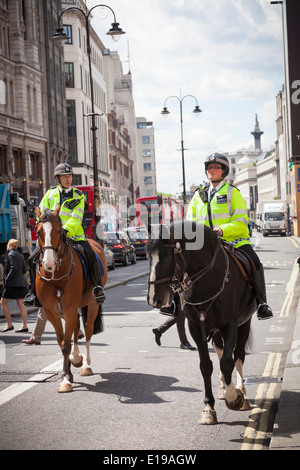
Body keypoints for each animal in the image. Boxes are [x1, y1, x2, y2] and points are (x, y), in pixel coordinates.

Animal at [34, 206, 106, 392]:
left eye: (59, 231)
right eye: (38, 232)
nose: (48, 264)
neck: (56, 275)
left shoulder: (69, 307)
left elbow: (66, 343)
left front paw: (66, 379)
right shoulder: (51, 311)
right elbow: (62, 342)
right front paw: (66, 373)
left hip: (91, 304)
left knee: (87, 330)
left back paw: (85, 364)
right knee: (75, 328)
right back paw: (76, 358)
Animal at [146, 221, 256, 426]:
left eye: (165, 257)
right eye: (148, 257)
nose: (152, 298)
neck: (208, 282)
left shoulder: (230, 324)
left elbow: (228, 362)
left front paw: (234, 397)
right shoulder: (196, 327)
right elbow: (206, 365)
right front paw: (208, 408)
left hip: (244, 322)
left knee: (238, 355)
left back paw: (242, 393)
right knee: (220, 349)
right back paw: (223, 388)